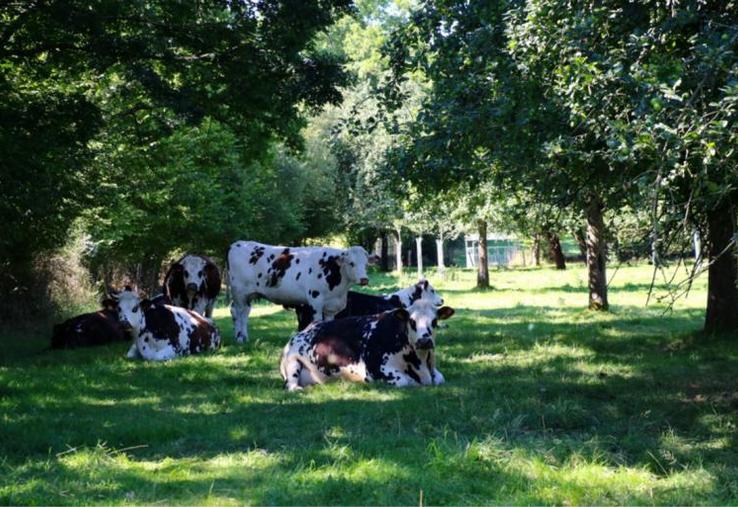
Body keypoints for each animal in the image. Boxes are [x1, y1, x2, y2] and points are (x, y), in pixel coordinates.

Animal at [228, 240, 374, 344]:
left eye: (366, 264)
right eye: (351, 263)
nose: (364, 279)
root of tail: (237, 244)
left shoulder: (331, 306)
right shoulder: (316, 300)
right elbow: (317, 321)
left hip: (248, 295)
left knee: (244, 313)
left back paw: (244, 338)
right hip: (239, 292)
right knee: (238, 312)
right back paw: (239, 338)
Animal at [280, 299, 455, 391]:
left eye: (435, 321)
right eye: (412, 321)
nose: (424, 341)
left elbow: (440, 378)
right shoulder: (375, 369)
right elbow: (405, 381)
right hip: (292, 362)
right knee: (291, 385)